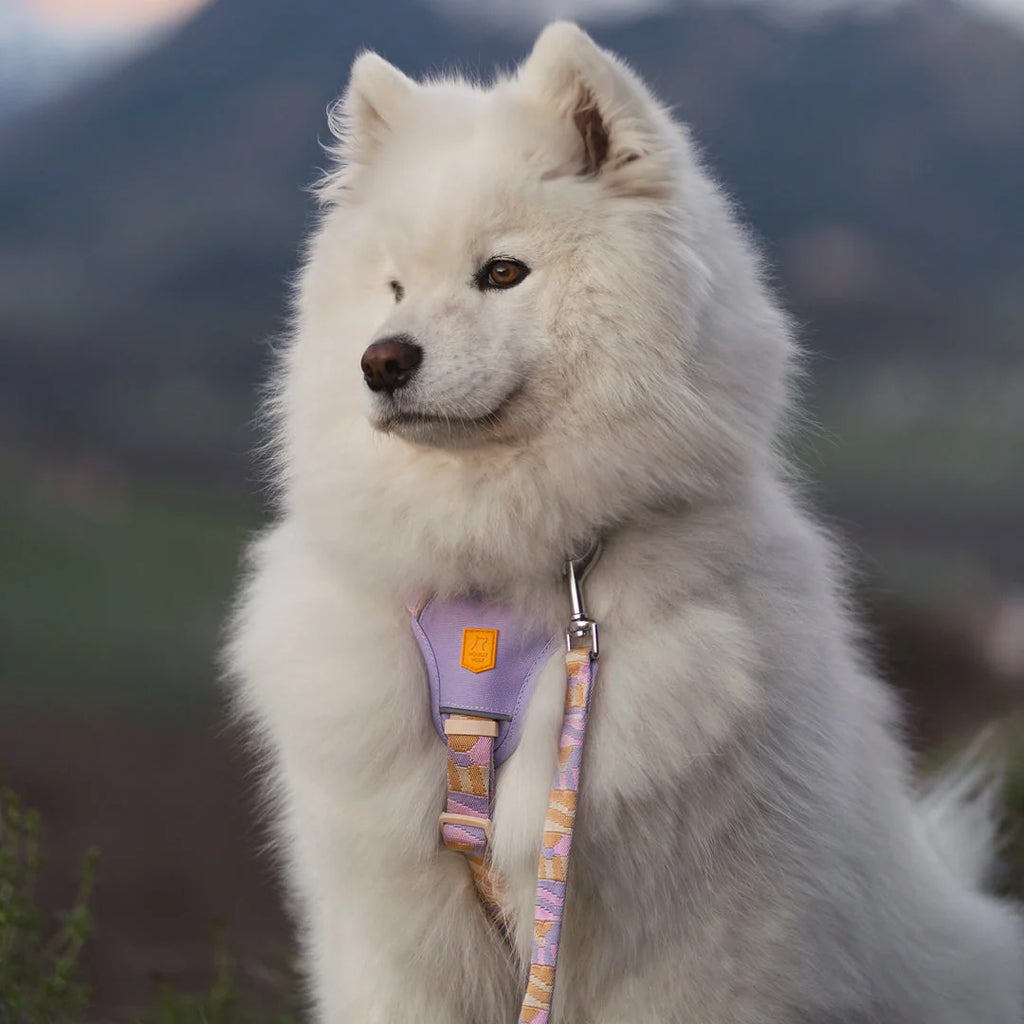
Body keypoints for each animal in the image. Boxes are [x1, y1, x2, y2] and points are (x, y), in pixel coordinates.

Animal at [226, 22, 1023, 1023]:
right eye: (395, 288)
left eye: (502, 272)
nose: (382, 360)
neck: (500, 576)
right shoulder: (391, 932)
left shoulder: (688, 946)